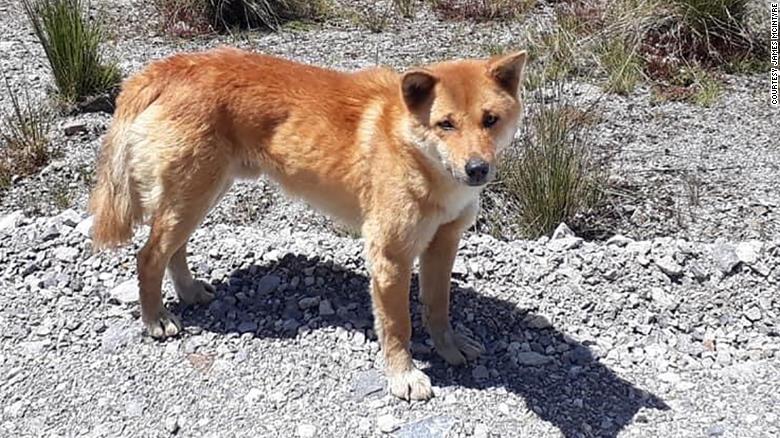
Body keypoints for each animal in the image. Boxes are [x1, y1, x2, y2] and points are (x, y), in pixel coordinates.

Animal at [88, 46, 528, 398]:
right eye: (446, 124)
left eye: (490, 120)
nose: (477, 169)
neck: (416, 155)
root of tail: (169, 66)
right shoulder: (390, 256)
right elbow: (397, 326)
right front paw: (403, 376)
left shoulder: (443, 244)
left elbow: (438, 307)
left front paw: (449, 348)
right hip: (191, 198)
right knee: (149, 257)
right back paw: (156, 319)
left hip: (199, 196)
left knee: (172, 251)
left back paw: (189, 291)